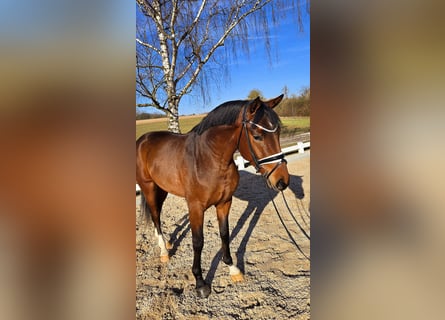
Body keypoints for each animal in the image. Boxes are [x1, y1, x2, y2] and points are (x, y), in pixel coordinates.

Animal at [135, 94, 288, 298]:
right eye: (257, 136)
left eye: (278, 133)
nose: (282, 180)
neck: (208, 158)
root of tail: (143, 139)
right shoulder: (196, 207)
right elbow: (198, 242)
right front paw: (200, 283)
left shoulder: (224, 203)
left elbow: (224, 234)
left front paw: (233, 269)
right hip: (149, 187)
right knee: (155, 216)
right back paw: (164, 252)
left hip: (162, 189)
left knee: (157, 214)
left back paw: (166, 244)